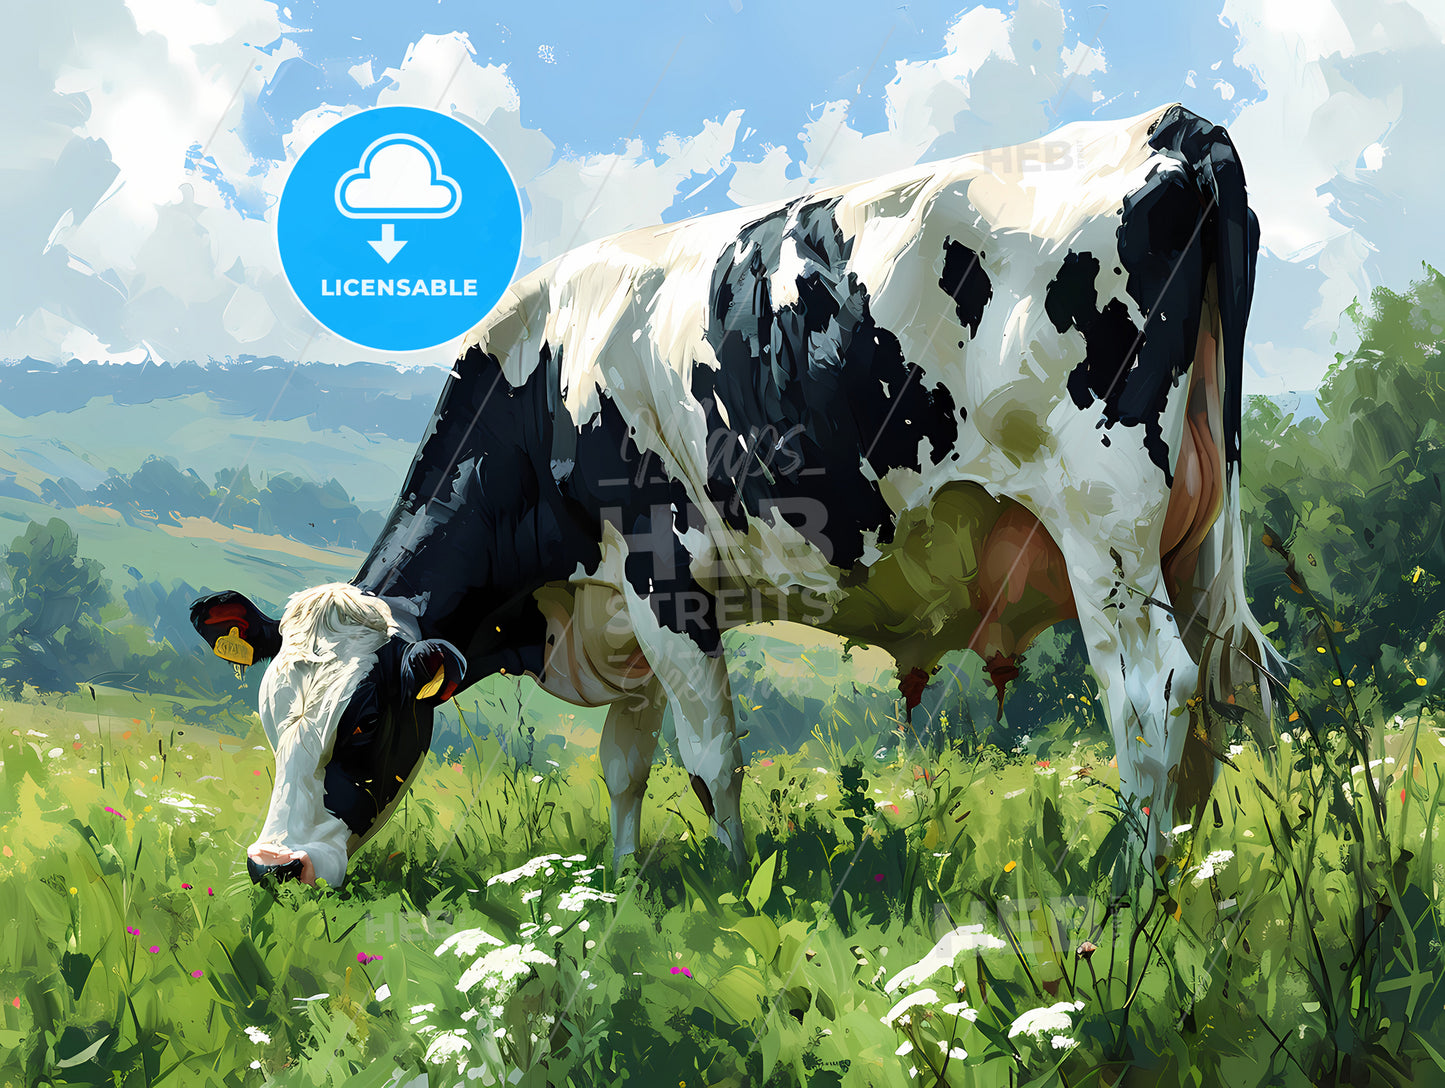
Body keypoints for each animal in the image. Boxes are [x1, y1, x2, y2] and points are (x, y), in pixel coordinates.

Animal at [192, 102, 1277, 889]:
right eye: (268, 717)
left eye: (362, 721)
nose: (274, 865)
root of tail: (1165, 125)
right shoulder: (614, 605)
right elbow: (622, 760)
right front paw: (621, 885)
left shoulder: (660, 575)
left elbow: (709, 757)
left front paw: (728, 882)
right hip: (1188, 536)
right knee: (1219, 696)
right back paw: (1207, 872)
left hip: (1102, 520)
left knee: (1150, 690)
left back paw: (1131, 888)